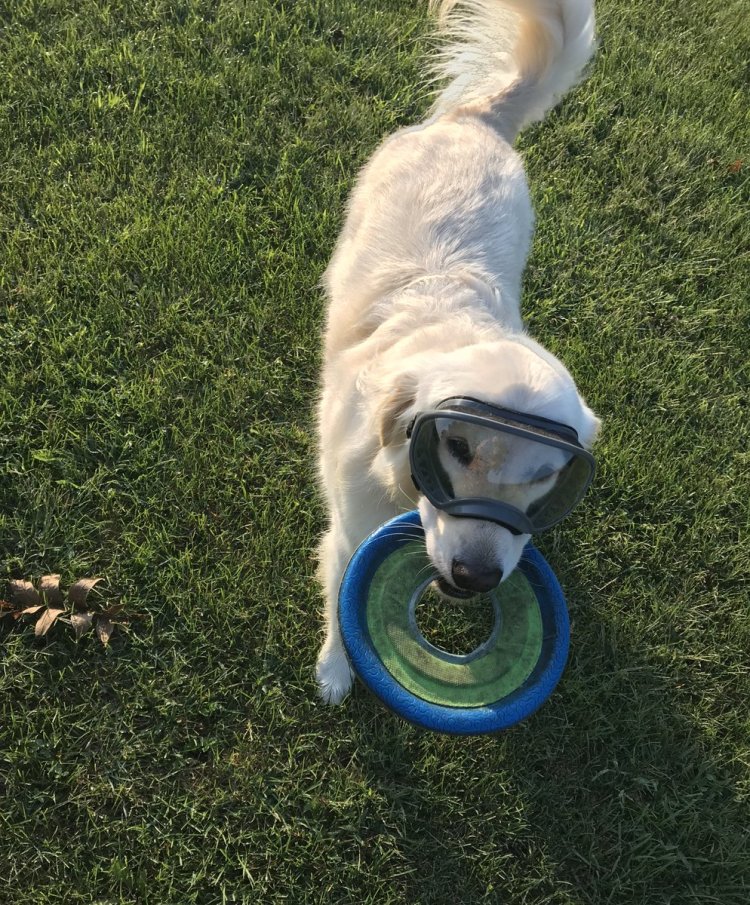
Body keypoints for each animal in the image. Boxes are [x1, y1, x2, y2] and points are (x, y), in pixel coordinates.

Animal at [318, 0, 604, 708]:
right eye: (456, 447)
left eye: (543, 476)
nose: (476, 576)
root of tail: (478, 118)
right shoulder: (347, 526)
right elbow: (337, 592)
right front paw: (335, 671)